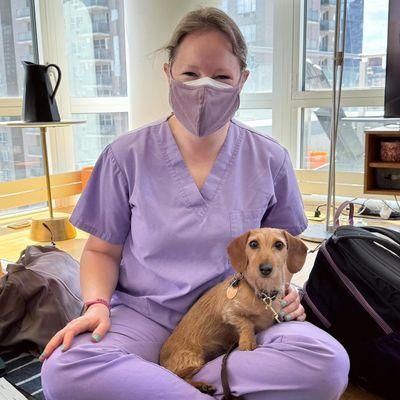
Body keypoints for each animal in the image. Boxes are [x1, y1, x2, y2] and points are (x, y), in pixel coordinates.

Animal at [159, 228, 306, 394]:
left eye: (279, 244)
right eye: (253, 244)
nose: (266, 269)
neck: (263, 295)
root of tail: (161, 361)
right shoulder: (229, 312)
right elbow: (246, 322)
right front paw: (248, 341)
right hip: (192, 360)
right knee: (181, 378)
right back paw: (202, 385)